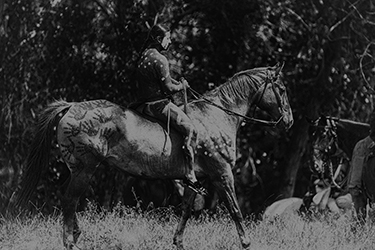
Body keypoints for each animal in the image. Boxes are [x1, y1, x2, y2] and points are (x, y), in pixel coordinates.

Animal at [13, 63, 294, 250]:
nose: (289, 121)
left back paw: (76, 234)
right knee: (70, 200)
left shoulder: (198, 179)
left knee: (68, 199)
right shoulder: (221, 173)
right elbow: (235, 209)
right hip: (85, 168)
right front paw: (246, 242)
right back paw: (70, 242)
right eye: (281, 88)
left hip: (77, 169)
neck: (217, 116)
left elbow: (187, 210)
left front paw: (178, 243)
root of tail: (71, 107)